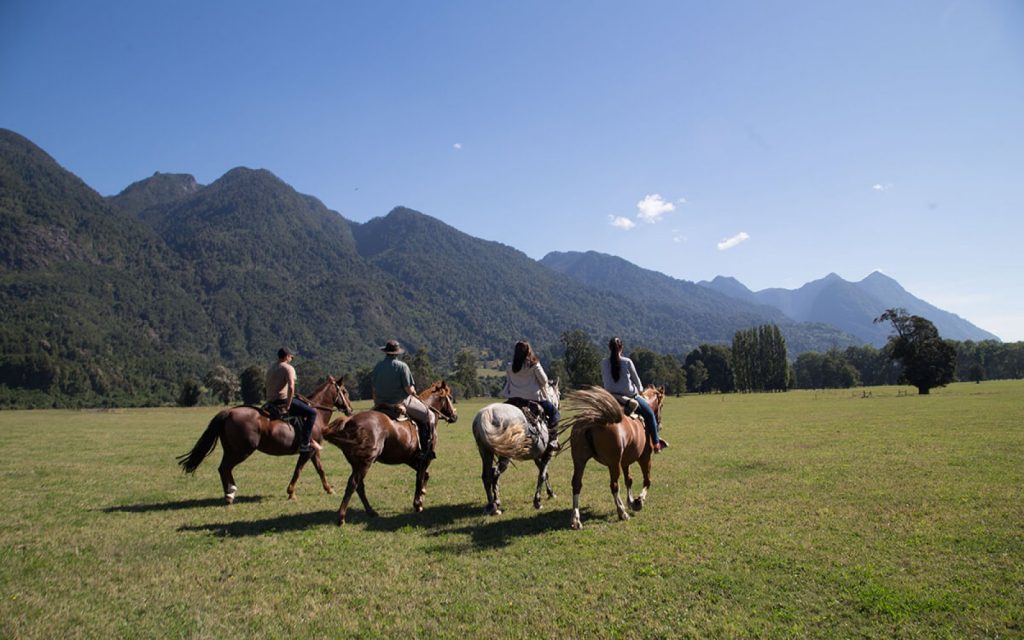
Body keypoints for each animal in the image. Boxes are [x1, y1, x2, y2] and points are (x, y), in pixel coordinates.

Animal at [176, 374, 352, 503]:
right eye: (344, 391)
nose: (350, 409)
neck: (316, 415)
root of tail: (229, 412)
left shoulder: (313, 451)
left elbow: (320, 469)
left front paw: (329, 489)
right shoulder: (307, 451)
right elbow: (298, 470)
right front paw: (291, 493)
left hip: (231, 450)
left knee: (222, 468)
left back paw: (229, 494)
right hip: (242, 451)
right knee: (225, 468)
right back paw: (230, 493)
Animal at [323, 378, 460, 524]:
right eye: (449, 397)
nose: (455, 416)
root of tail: (350, 420)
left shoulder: (410, 458)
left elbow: (425, 475)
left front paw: (422, 495)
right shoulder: (425, 458)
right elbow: (420, 477)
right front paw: (418, 504)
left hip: (357, 463)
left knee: (359, 486)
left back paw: (371, 511)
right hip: (366, 462)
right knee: (353, 483)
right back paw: (341, 517)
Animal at [565, 385, 667, 528]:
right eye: (661, 405)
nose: (660, 425)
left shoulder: (625, 462)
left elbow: (629, 480)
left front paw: (631, 501)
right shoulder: (644, 458)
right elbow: (647, 480)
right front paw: (639, 501)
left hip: (579, 461)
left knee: (576, 484)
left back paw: (575, 519)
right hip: (613, 464)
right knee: (614, 485)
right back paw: (622, 512)